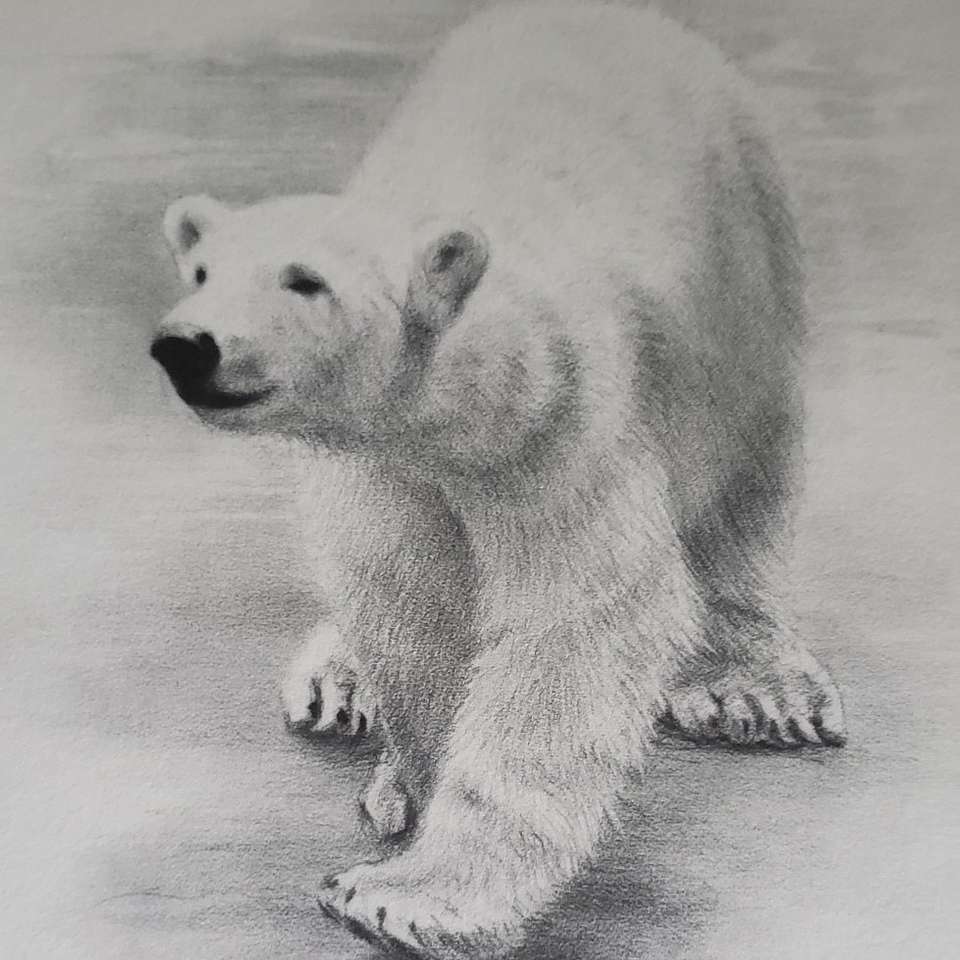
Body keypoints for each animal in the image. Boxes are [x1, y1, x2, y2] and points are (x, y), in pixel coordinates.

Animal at [151, 2, 846, 957]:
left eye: (306, 281)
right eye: (202, 271)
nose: (186, 344)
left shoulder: (559, 430)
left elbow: (572, 626)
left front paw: (406, 897)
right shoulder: (386, 470)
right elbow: (408, 600)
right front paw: (404, 782)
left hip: (740, 267)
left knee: (745, 472)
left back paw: (754, 683)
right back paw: (337, 682)